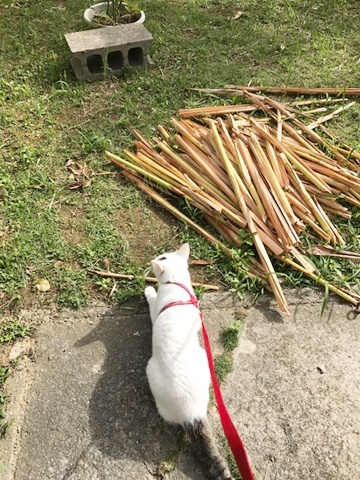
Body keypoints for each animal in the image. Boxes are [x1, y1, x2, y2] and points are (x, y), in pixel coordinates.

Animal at [145, 244, 232, 480]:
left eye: (162, 257)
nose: (155, 256)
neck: (178, 285)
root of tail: (192, 412)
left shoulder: (156, 310)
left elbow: (152, 300)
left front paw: (148, 290)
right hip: (202, 358)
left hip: (150, 369)